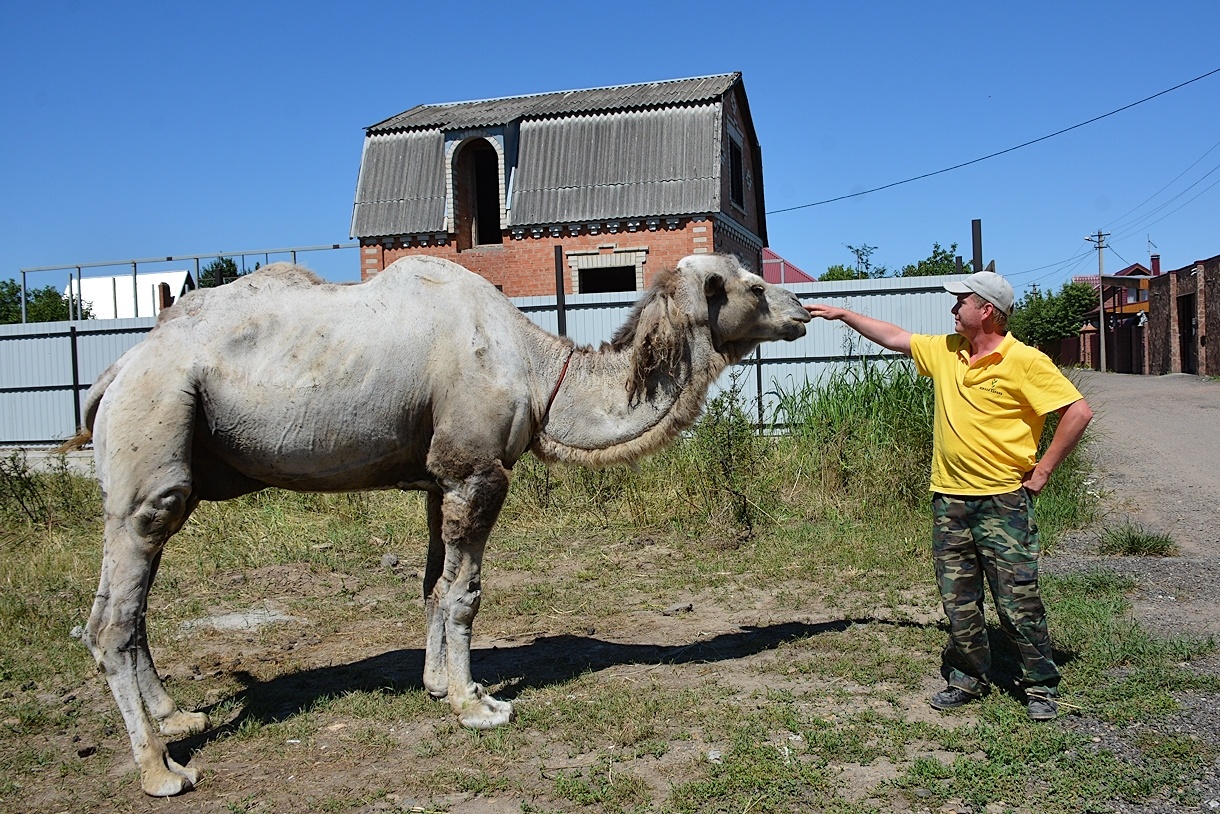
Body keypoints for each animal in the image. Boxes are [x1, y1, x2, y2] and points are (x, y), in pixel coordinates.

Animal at [64, 252, 810, 795]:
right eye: (751, 284)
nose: (803, 309)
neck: (537, 370)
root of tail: (115, 371)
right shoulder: (476, 470)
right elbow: (465, 594)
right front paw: (477, 707)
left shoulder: (435, 477)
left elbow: (432, 587)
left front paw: (442, 685)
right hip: (154, 435)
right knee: (114, 616)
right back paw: (162, 769)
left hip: (156, 462)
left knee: (118, 607)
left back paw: (177, 715)